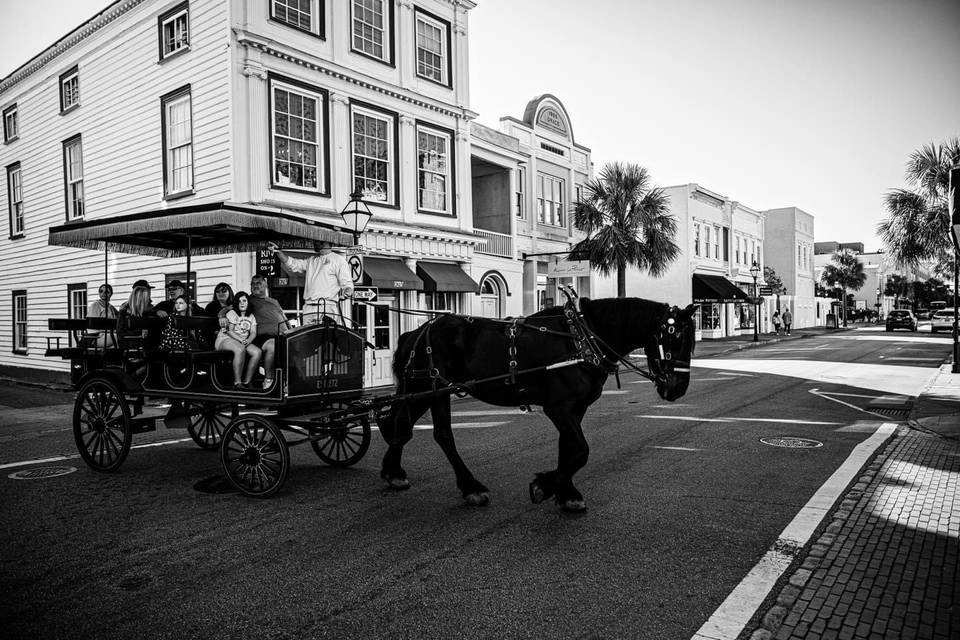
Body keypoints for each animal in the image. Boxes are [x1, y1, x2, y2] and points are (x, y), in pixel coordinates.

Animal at [376, 298, 696, 512]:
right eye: (673, 339)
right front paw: (546, 486)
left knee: (400, 425)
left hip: (422, 391)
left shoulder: (575, 408)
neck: (582, 338)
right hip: (433, 389)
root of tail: (414, 333)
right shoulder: (559, 407)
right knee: (438, 434)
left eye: (691, 342)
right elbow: (581, 450)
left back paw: (394, 472)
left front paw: (565, 491)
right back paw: (470, 487)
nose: (678, 388)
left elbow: (569, 448)